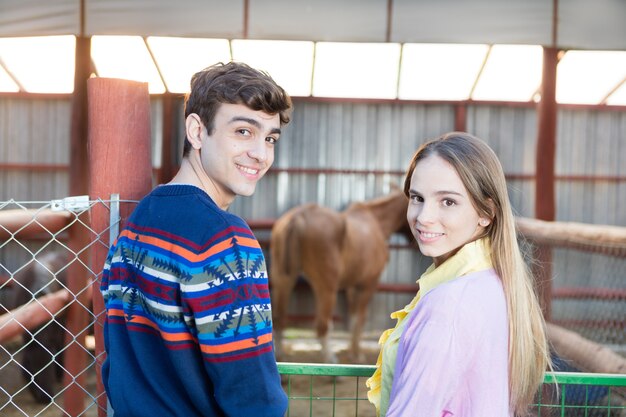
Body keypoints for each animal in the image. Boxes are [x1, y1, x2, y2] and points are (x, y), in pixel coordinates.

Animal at [270, 188, 408, 360]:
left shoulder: (352, 286)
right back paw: (330, 359)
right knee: (322, 325)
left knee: (279, 318)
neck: (376, 221)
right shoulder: (368, 285)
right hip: (326, 288)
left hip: (283, 280)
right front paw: (356, 355)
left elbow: (353, 318)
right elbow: (359, 320)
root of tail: (298, 216)